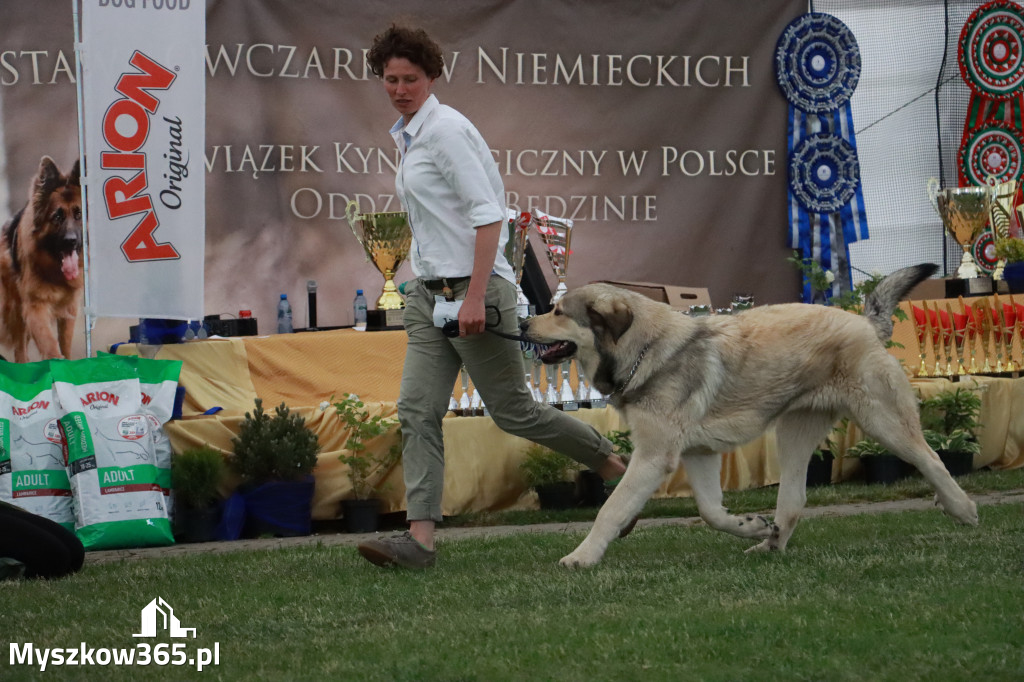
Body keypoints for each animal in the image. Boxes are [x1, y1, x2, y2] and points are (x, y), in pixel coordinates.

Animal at [0, 155, 82, 360]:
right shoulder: (35, 307)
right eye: (57, 217)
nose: (71, 241)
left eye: (79, 214)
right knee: (20, 349)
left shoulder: (69, 309)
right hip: (15, 312)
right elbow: (50, 345)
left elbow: (65, 345)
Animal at [524, 266, 978, 569]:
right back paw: (769, 543)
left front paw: (581, 557)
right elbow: (711, 513)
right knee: (793, 500)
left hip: (883, 421)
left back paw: (962, 509)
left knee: (932, 459)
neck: (646, 350)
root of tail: (864, 322)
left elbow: (611, 509)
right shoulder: (698, 455)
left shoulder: (654, 458)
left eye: (559, 312)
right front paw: (751, 525)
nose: (524, 321)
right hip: (794, 434)